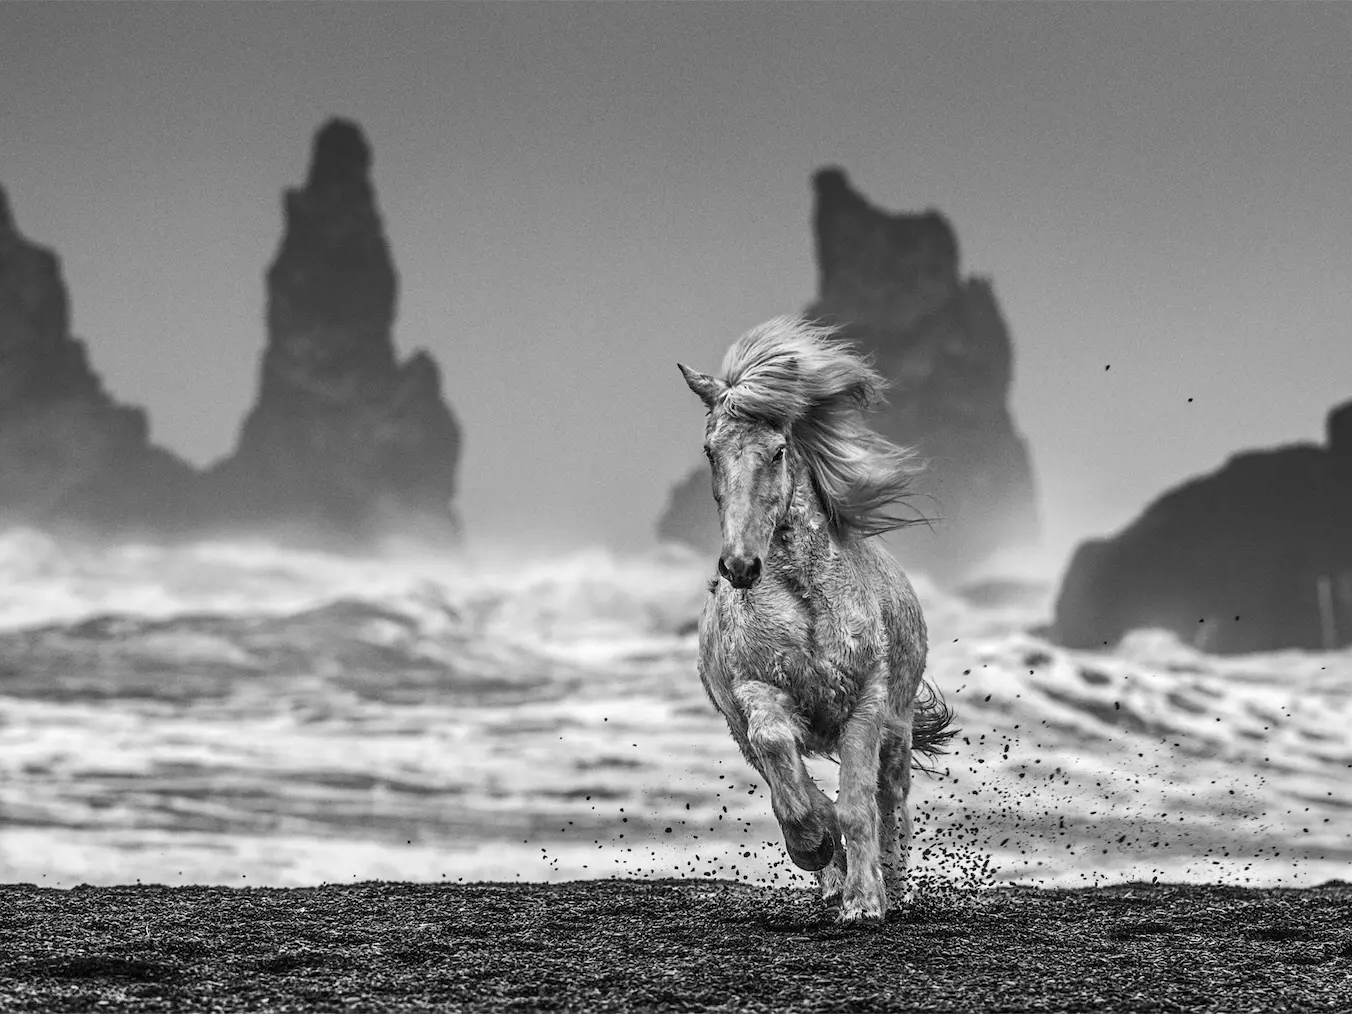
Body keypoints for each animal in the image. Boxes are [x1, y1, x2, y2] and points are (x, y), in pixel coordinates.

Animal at [677, 315, 957, 923]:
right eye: (710, 451)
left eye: (779, 451)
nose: (740, 566)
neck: (806, 602)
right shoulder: (757, 695)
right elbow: (792, 780)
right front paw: (818, 847)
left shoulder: (866, 703)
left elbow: (857, 805)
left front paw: (866, 901)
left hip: (898, 727)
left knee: (891, 798)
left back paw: (890, 882)